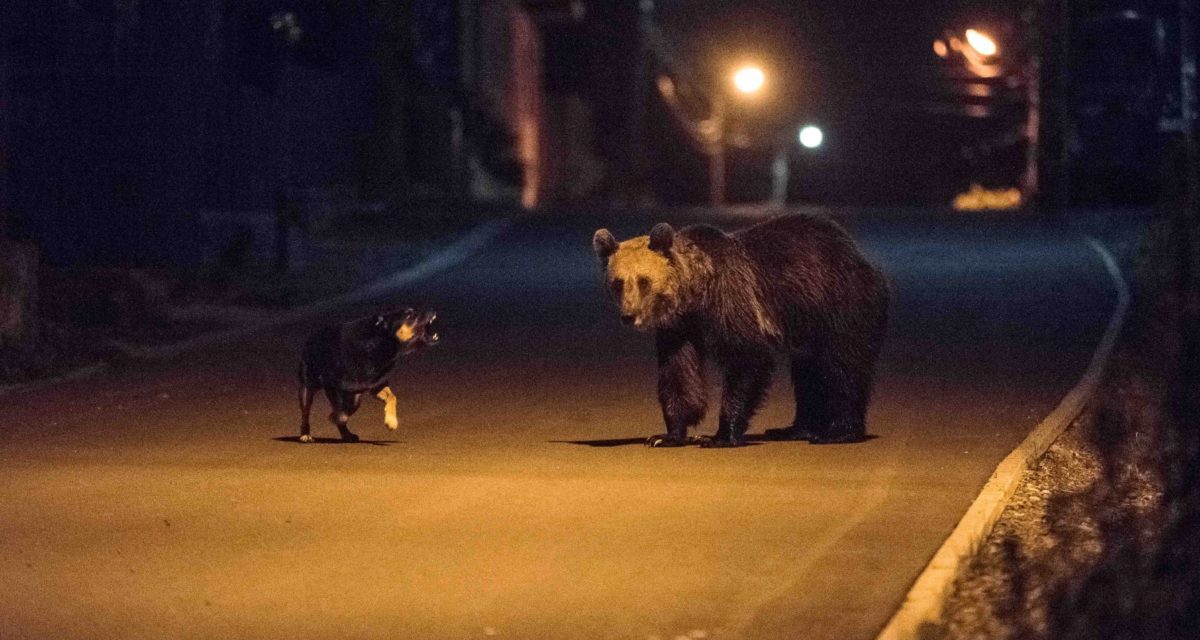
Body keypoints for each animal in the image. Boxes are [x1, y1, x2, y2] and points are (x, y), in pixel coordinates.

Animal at [296, 307, 441, 439]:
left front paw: (391, 421)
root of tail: (312, 336)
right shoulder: (331, 385)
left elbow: (392, 397)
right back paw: (305, 434)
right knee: (306, 413)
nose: (432, 311)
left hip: (354, 395)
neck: (379, 345)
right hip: (307, 388)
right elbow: (341, 413)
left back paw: (346, 434)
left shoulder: (376, 386)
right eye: (409, 316)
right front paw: (335, 417)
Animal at [592, 213, 892, 444]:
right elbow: (679, 372)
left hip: (840, 306)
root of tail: (862, 258)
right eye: (618, 282)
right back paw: (794, 428)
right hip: (807, 327)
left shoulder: (731, 299)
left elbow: (747, 357)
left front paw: (720, 435)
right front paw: (667, 435)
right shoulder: (679, 328)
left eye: (643, 281)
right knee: (807, 371)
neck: (695, 292)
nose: (629, 316)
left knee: (842, 366)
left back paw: (837, 432)